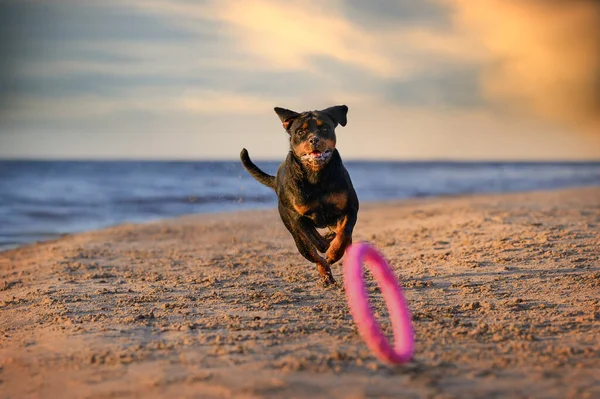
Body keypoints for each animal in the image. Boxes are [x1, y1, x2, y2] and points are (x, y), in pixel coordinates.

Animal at [239, 104, 358, 286]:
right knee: (314, 254)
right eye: (300, 132)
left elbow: (344, 234)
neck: (316, 175)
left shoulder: (350, 208)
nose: (314, 139)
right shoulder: (298, 217)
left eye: (325, 127)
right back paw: (326, 275)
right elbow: (314, 239)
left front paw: (334, 252)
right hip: (295, 234)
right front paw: (327, 245)